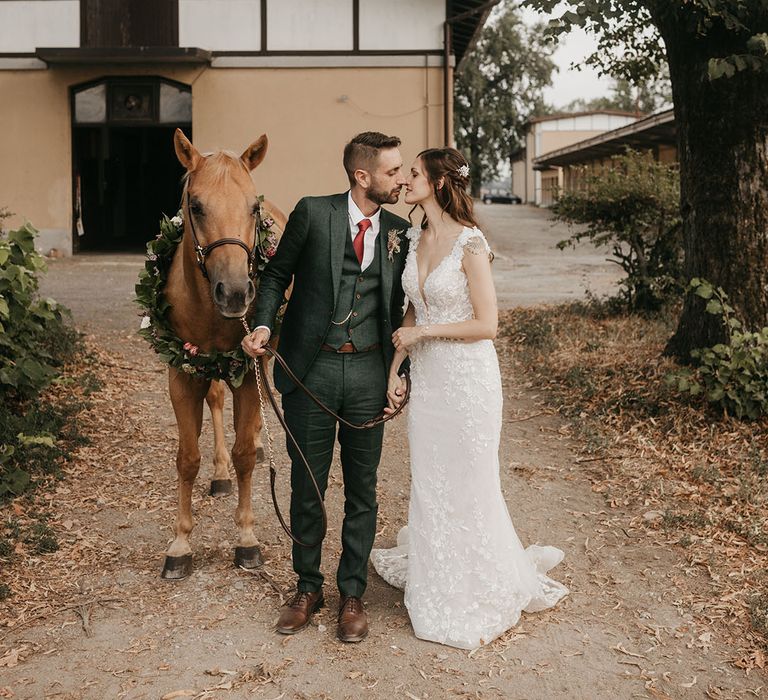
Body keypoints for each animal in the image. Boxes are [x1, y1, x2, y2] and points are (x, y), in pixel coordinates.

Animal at [159, 129, 288, 576]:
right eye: (196, 206)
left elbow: (245, 454)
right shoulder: (182, 376)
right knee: (216, 401)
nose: (234, 293)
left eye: (252, 207)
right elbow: (187, 458)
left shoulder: (248, 369)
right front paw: (180, 543)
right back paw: (219, 474)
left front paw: (246, 539)